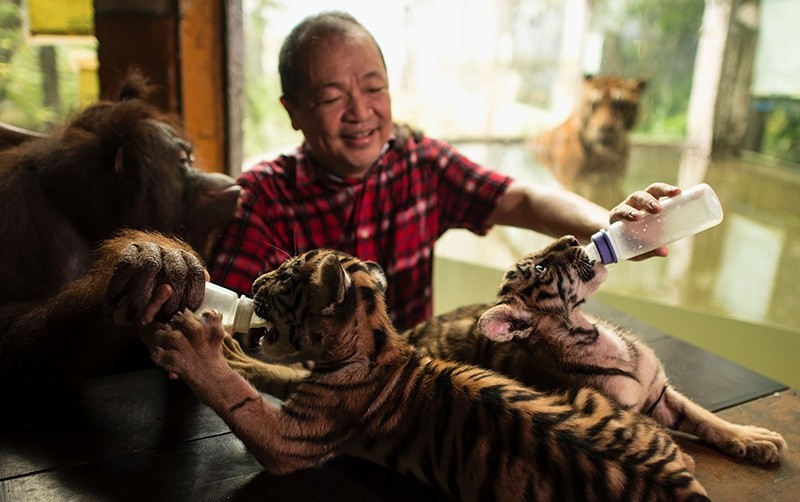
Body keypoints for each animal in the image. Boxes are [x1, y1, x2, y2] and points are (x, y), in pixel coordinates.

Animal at [152, 248, 709, 501]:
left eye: (285, 279)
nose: (252, 283)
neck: (373, 344)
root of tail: (678, 485)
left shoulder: (293, 437)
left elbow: (238, 399)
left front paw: (195, 349)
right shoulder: (306, 388)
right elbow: (271, 374)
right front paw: (234, 353)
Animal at [403, 236, 787, 466]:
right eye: (541, 267)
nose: (573, 238)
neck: (590, 331)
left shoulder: (660, 393)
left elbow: (706, 418)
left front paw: (755, 439)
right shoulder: (625, 410)